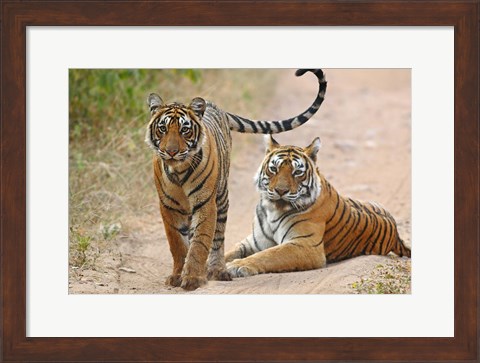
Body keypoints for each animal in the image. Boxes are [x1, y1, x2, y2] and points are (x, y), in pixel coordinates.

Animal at [145, 68, 326, 292]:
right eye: (162, 129)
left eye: (184, 130)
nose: (171, 152)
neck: (178, 170)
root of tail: (216, 107)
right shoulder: (168, 206)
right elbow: (177, 244)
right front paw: (178, 275)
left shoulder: (205, 203)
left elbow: (200, 242)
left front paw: (193, 278)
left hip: (222, 197)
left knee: (217, 237)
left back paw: (217, 270)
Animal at [225, 136, 408, 278]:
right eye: (274, 169)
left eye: (297, 172)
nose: (281, 191)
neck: (272, 210)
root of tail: (396, 235)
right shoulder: (253, 242)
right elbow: (229, 252)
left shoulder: (306, 245)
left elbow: (268, 255)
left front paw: (236, 266)